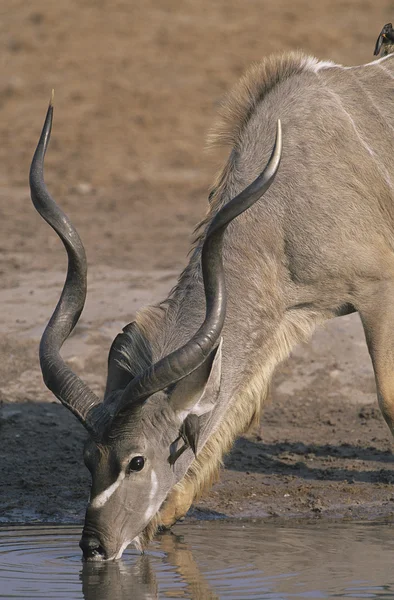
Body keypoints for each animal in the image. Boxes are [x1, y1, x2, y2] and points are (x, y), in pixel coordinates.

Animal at [30, 49, 394, 560]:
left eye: (136, 460)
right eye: (88, 458)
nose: (94, 546)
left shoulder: (378, 288)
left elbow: (388, 399)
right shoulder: (283, 319)